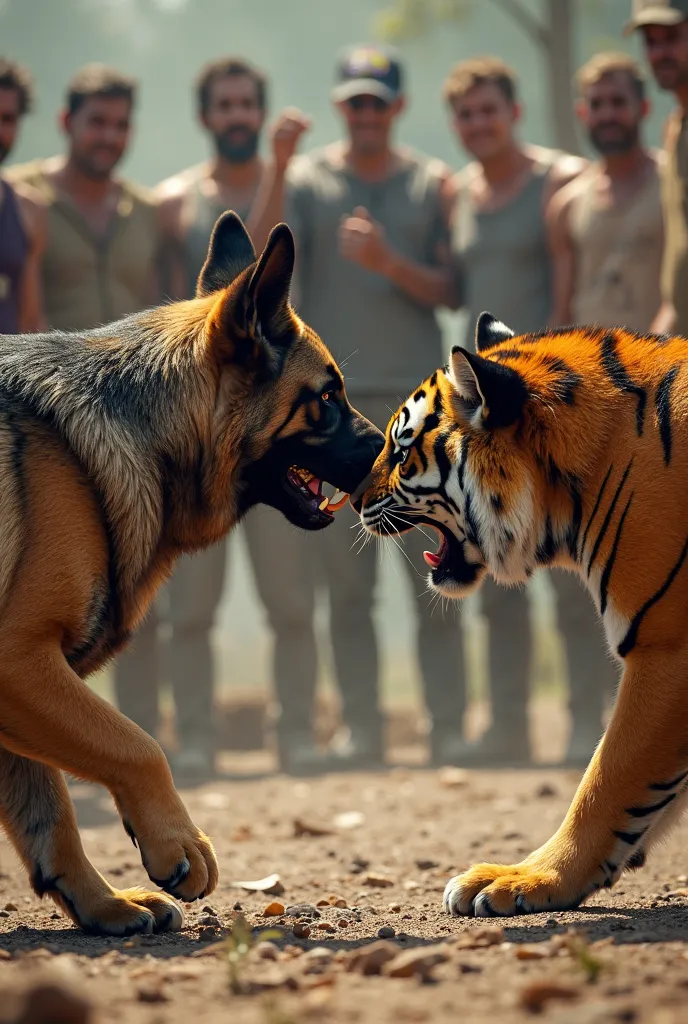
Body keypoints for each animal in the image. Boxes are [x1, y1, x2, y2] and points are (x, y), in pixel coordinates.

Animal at [0, 211, 384, 933]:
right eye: (326, 398)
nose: (393, 450)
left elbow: (50, 817)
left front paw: (103, 903)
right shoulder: (20, 660)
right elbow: (135, 742)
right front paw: (176, 842)